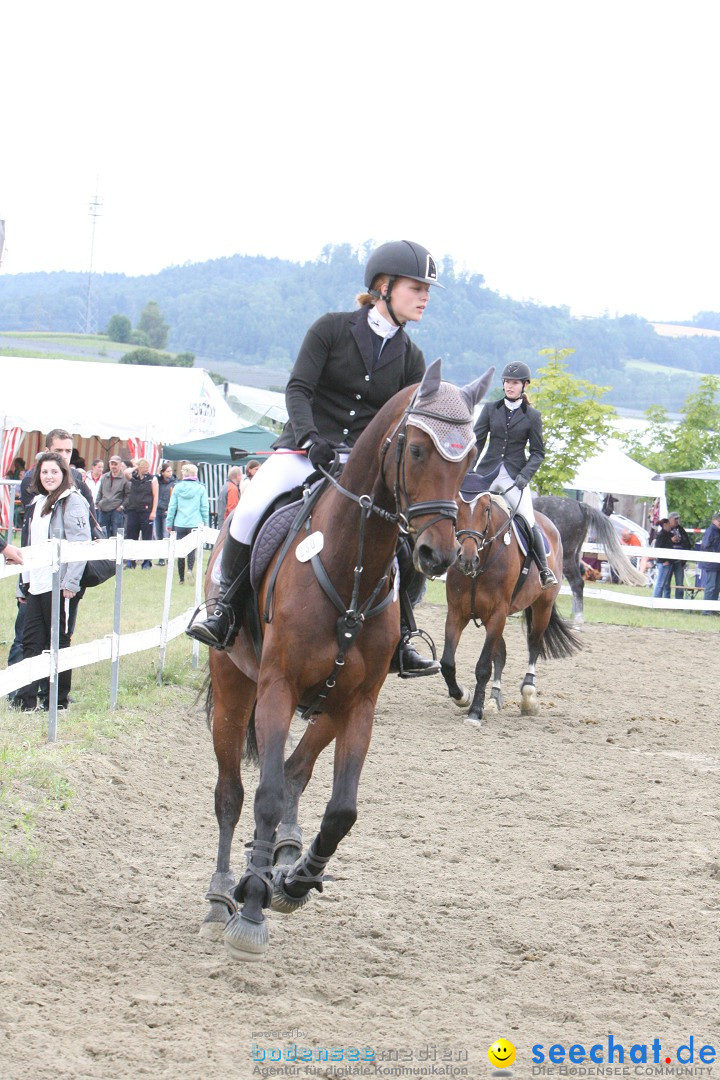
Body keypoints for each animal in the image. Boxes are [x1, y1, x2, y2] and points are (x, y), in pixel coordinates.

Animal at [202, 362, 496, 963]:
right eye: (415, 450)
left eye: (468, 460)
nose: (437, 555)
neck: (348, 567)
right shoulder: (277, 690)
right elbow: (263, 797)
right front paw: (250, 911)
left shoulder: (359, 702)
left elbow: (341, 810)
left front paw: (291, 882)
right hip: (234, 687)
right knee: (231, 794)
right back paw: (222, 896)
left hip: (329, 705)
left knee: (296, 771)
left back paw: (283, 860)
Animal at [440, 494, 578, 730]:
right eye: (456, 508)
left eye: (486, 510)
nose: (467, 559)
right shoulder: (457, 614)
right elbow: (448, 663)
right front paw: (463, 697)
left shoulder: (498, 614)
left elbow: (483, 666)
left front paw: (475, 712)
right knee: (501, 654)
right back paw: (494, 699)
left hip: (542, 606)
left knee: (534, 644)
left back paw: (529, 697)